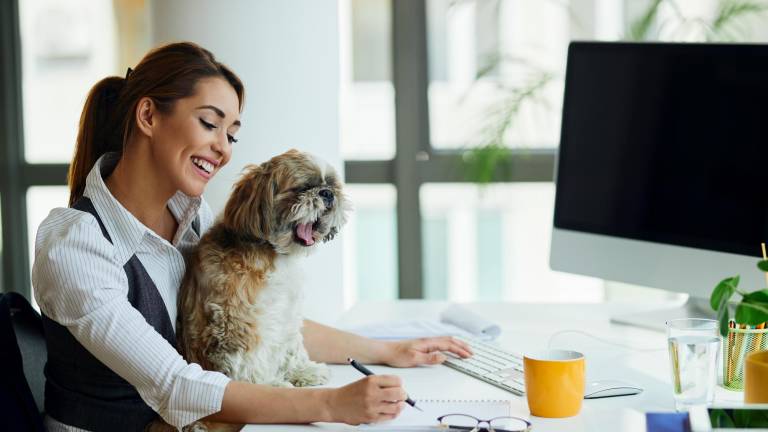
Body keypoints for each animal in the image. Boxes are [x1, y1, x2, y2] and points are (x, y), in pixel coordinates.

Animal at [176, 149, 350, 432]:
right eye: (303, 188)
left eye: (331, 184)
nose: (326, 193)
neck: (273, 252)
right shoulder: (235, 323)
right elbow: (247, 364)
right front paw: (271, 388)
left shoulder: (287, 314)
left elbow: (291, 347)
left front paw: (303, 371)